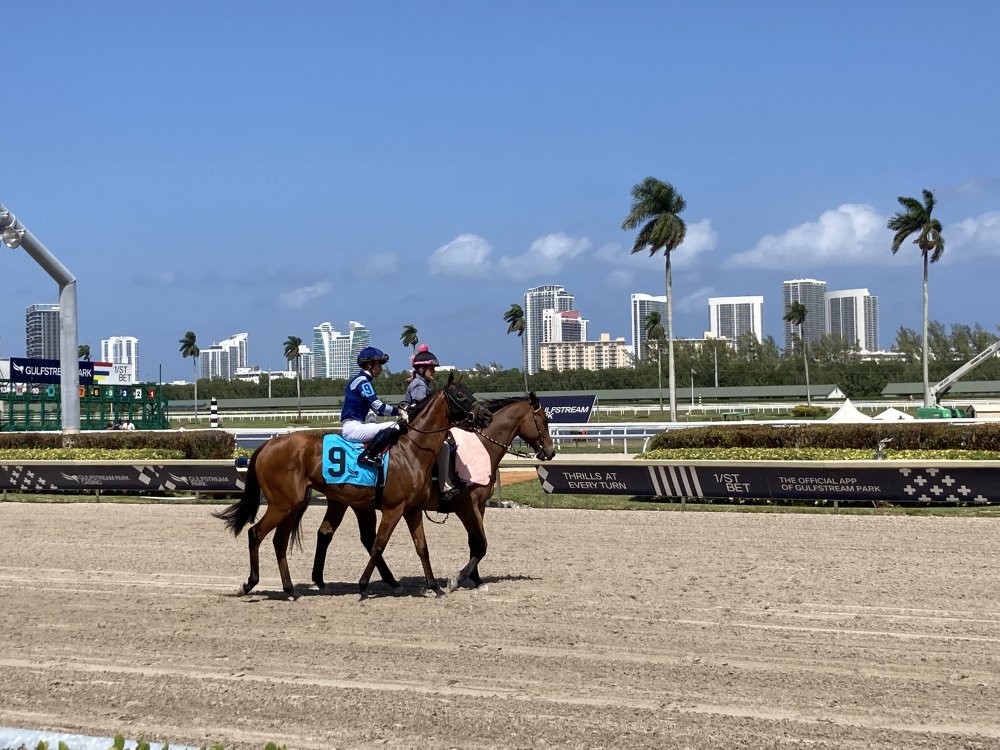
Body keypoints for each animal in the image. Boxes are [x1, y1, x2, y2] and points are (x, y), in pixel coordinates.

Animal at [215, 378, 492, 604]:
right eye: (461, 395)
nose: (487, 416)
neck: (412, 450)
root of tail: (266, 445)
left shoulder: (412, 510)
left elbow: (422, 548)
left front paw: (435, 587)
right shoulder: (393, 509)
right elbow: (379, 544)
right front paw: (363, 587)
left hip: (293, 504)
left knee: (279, 541)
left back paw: (291, 590)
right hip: (282, 504)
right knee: (255, 533)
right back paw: (249, 584)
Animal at [310, 394, 556, 600]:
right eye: (544, 420)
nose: (550, 452)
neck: (482, 448)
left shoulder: (480, 506)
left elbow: (474, 543)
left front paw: (476, 580)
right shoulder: (467, 506)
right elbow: (481, 544)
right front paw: (457, 579)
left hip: (348, 502)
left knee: (330, 533)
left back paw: (329, 581)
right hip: (359, 504)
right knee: (362, 538)